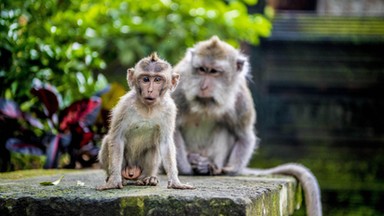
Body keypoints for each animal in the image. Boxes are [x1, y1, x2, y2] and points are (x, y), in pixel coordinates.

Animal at [97, 52, 195, 191]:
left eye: (158, 80)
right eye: (145, 79)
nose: (150, 90)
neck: (148, 108)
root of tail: (132, 171)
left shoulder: (169, 109)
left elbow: (165, 142)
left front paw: (176, 182)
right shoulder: (124, 106)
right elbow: (117, 138)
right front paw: (114, 181)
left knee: (154, 147)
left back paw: (148, 178)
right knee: (107, 140)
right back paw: (119, 178)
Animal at [172, 36, 320, 215]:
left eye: (214, 72)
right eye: (201, 69)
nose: (203, 86)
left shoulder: (240, 99)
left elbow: (245, 135)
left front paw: (229, 170)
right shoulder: (178, 89)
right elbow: (169, 129)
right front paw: (186, 169)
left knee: (226, 129)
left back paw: (207, 167)